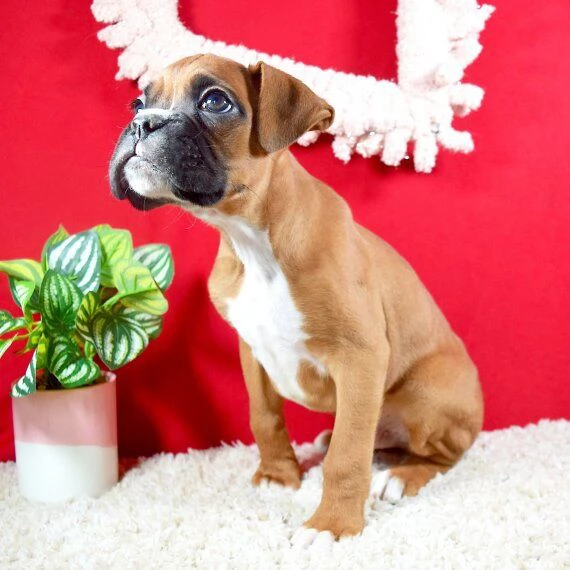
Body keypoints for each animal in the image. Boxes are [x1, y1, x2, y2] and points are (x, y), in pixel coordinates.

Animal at [108, 55, 482, 544]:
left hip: (425, 396)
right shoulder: (252, 350)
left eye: (215, 101)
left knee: (443, 456)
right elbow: (264, 417)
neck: (254, 243)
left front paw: (333, 525)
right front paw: (278, 476)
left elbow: (348, 454)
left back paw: (398, 478)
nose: (142, 123)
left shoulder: (361, 357)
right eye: (138, 102)